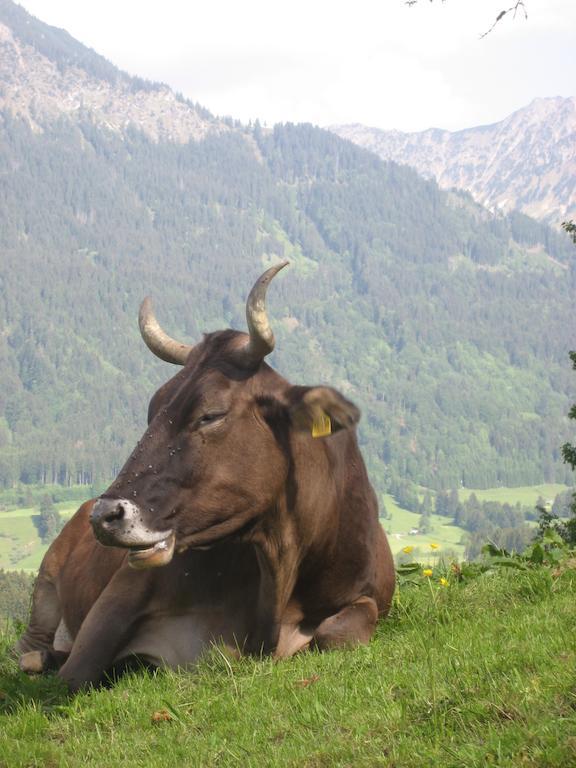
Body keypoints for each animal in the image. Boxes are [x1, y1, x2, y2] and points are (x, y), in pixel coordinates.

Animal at [16, 264, 396, 688]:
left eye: (210, 414)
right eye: (152, 409)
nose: (105, 515)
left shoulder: (369, 594)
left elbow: (337, 633)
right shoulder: (121, 593)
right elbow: (75, 674)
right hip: (46, 579)